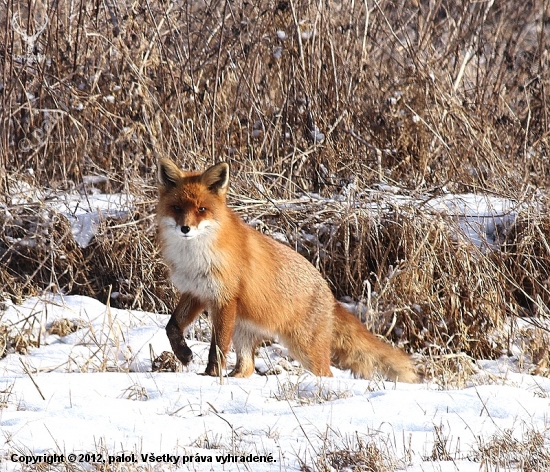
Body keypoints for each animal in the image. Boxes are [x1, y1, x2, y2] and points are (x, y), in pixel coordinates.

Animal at [155, 160, 418, 382]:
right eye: (177, 207)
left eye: (201, 209)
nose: (185, 228)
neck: (195, 256)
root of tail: (329, 294)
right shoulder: (196, 292)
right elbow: (171, 327)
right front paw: (183, 354)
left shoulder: (224, 299)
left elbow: (217, 347)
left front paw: (210, 375)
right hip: (244, 332)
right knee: (247, 367)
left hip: (305, 349)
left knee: (325, 372)